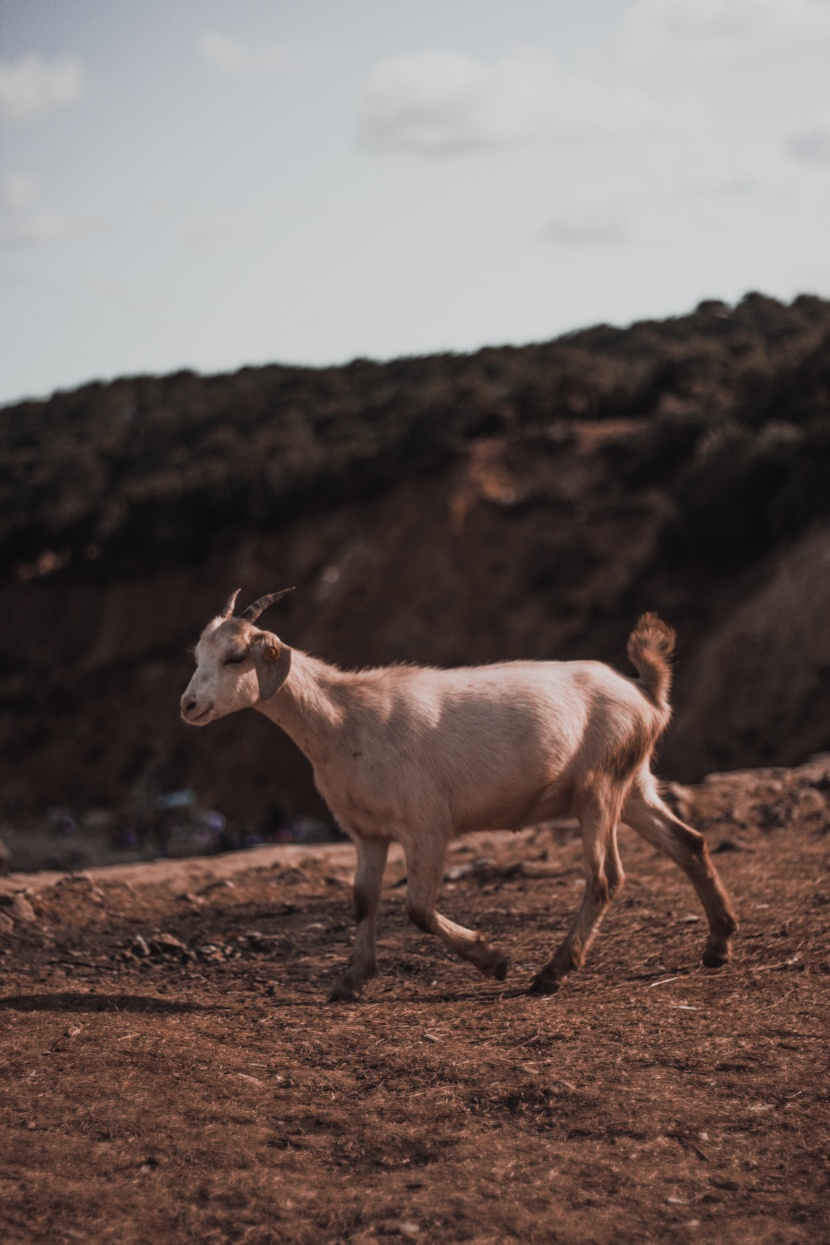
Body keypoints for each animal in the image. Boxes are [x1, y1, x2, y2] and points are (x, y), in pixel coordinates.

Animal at [179, 592, 736, 1000]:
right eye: (199, 655)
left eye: (236, 657)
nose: (188, 705)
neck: (346, 720)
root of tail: (645, 692)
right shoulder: (367, 831)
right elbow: (363, 900)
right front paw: (350, 981)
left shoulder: (426, 826)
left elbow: (418, 910)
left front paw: (493, 960)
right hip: (633, 783)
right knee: (688, 842)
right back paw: (719, 943)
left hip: (598, 788)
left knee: (605, 877)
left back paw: (551, 973)